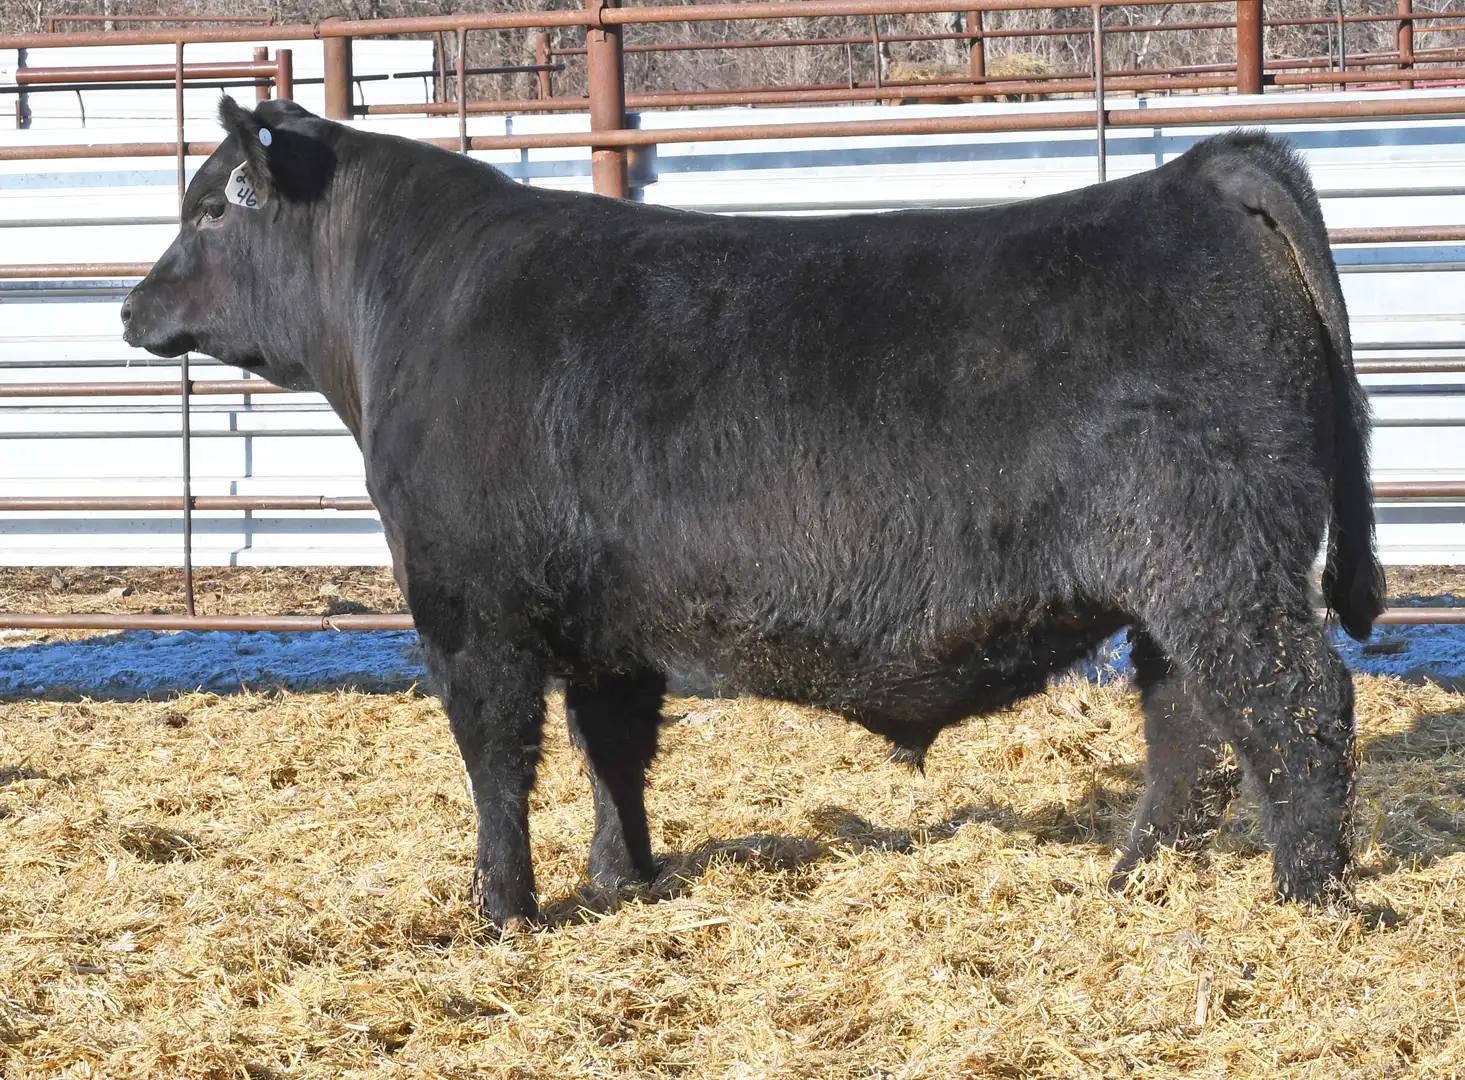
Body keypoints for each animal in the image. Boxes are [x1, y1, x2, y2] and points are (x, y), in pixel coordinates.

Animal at [122, 98, 1385, 928]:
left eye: (210, 209)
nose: (131, 306)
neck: (409, 309)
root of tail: (1196, 173)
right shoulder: (604, 621)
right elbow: (613, 751)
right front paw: (621, 879)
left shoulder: (469, 605)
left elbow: (496, 758)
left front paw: (501, 907)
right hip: (1176, 584)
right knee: (1190, 726)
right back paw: (1134, 882)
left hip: (1222, 564)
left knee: (1296, 706)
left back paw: (1304, 901)